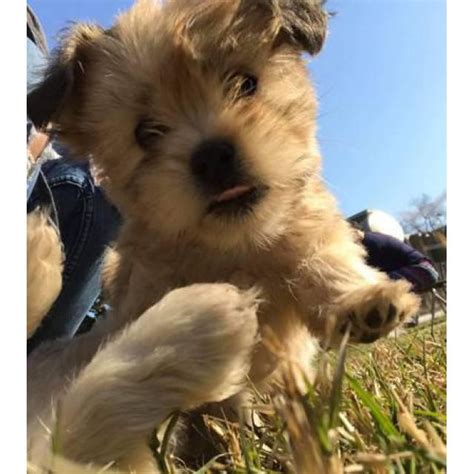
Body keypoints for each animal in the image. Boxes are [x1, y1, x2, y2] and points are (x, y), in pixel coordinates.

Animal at [26, 0, 418, 470]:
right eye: (146, 132)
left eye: (246, 83)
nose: (212, 156)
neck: (235, 246)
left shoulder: (305, 231)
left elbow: (326, 263)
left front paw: (365, 301)